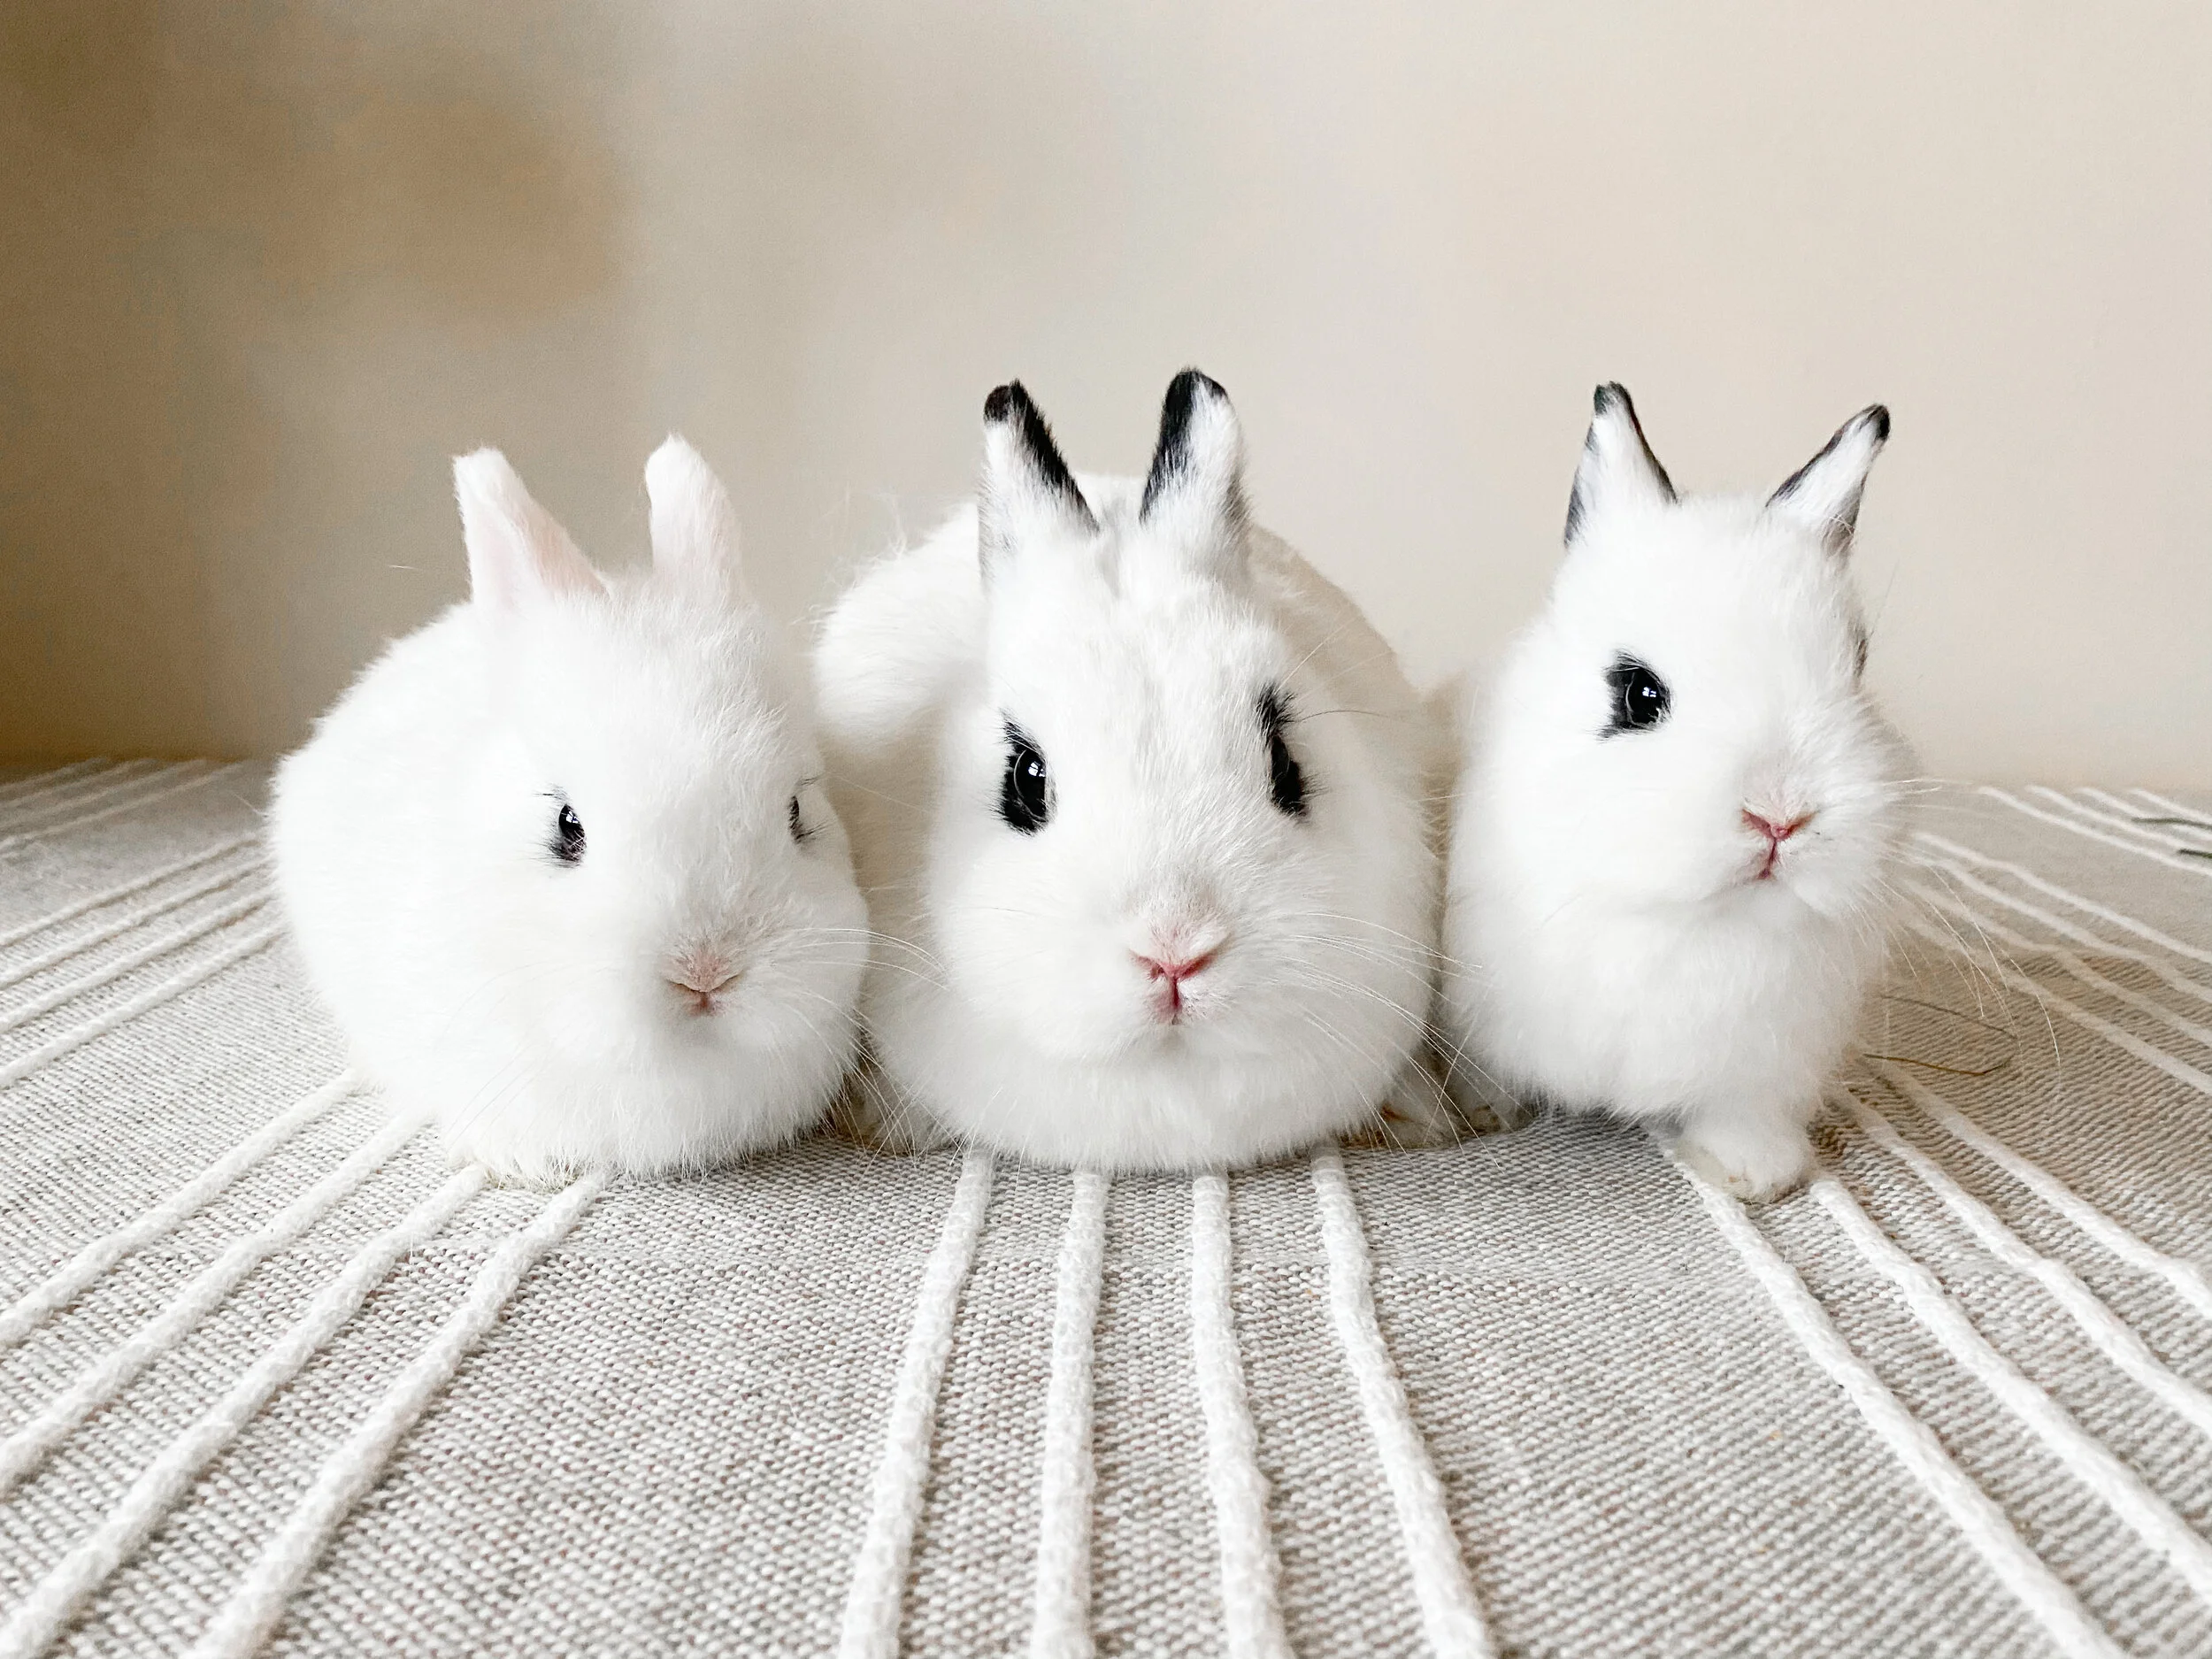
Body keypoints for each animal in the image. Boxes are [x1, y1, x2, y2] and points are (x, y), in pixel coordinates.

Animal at [1438, 385, 1909, 1200]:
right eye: (1638, 693)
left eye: (1857, 663)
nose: (1780, 816)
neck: (1679, 917)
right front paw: (1483, 1112)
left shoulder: (1766, 1062)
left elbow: (1742, 1112)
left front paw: (1753, 1172)